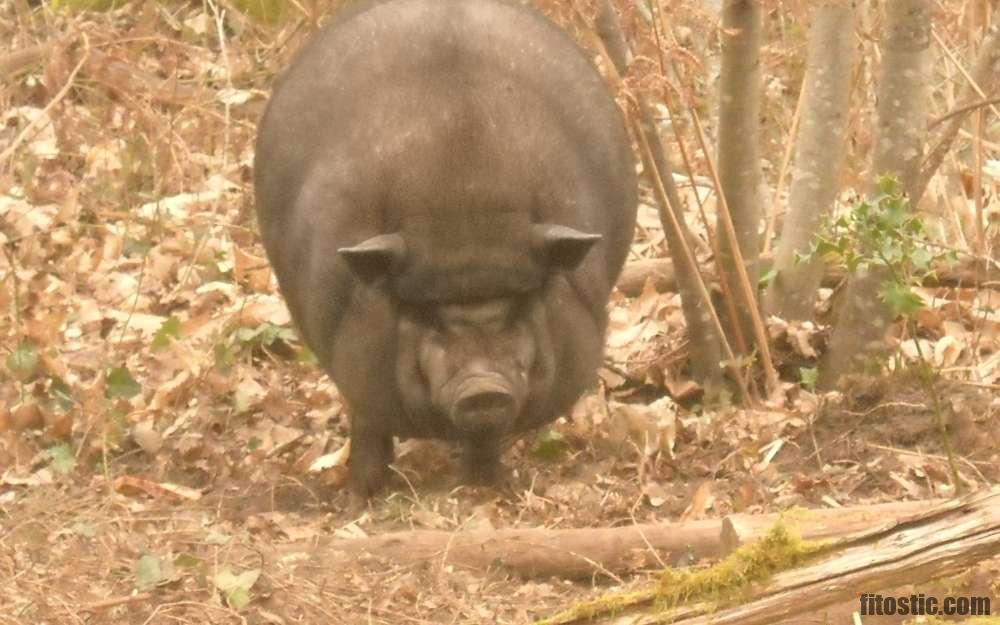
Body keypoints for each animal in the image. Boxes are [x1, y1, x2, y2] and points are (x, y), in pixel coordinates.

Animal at [254, 0, 636, 498]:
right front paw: (363, 497)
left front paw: (485, 488)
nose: (483, 386)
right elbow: (368, 419)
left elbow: (486, 437)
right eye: (429, 314)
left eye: (517, 304)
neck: (463, 196)